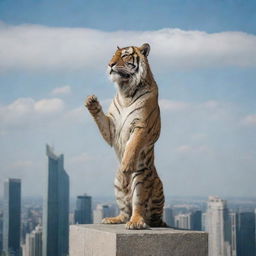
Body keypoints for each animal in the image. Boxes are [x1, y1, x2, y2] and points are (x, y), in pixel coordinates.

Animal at [84, 43, 166, 229]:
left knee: (143, 210)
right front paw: (92, 102)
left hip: (142, 179)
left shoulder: (140, 125)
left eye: (125, 55)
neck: (125, 91)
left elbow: (133, 145)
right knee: (124, 211)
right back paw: (113, 219)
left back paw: (136, 222)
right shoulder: (111, 129)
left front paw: (126, 165)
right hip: (117, 185)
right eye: (112, 55)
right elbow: (101, 120)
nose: (110, 64)